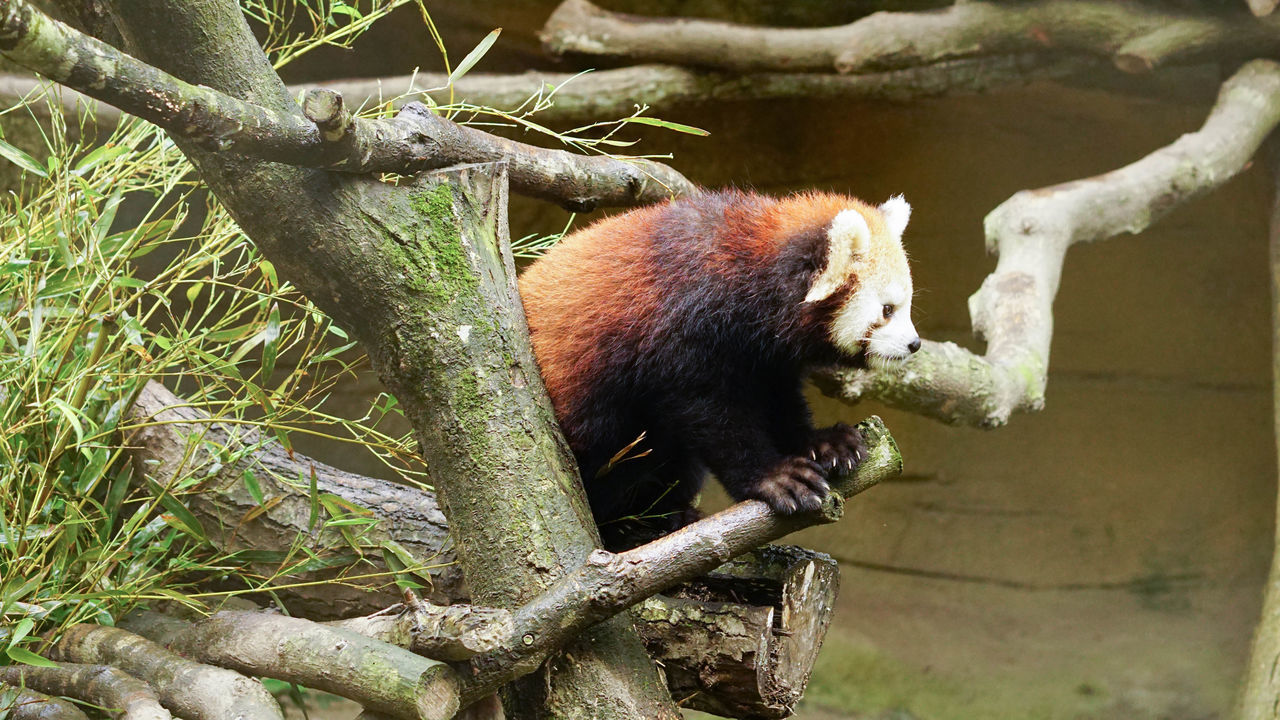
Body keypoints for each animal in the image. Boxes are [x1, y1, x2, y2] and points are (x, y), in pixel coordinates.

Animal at [519, 188, 921, 545]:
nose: (914, 344)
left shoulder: (765, 359)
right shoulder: (681, 329)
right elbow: (712, 416)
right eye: (887, 310)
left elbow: (779, 402)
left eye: (906, 305)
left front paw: (821, 443)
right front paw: (774, 477)